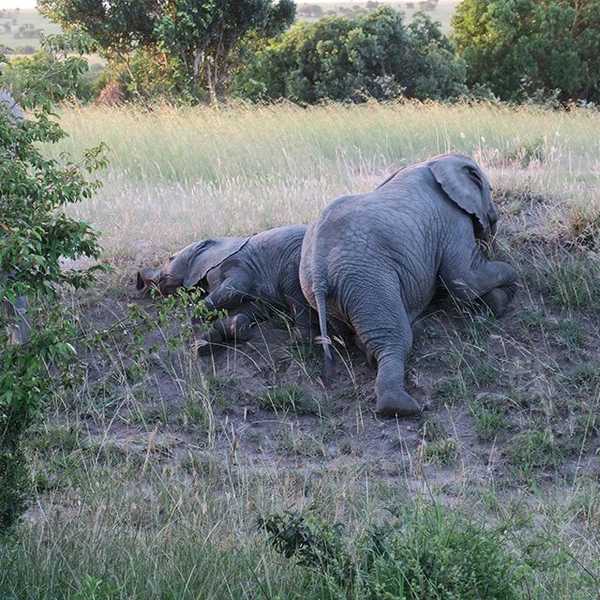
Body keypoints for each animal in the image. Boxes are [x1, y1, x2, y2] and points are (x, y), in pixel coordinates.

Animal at [136, 223, 314, 350]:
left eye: (170, 259)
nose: (139, 282)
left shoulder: (237, 262)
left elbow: (235, 290)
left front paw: (199, 342)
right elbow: (254, 307)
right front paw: (234, 329)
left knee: (295, 296)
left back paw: (296, 341)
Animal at [302, 152, 516, 418]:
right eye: (490, 189)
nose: (492, 224)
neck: (434, 161)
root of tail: (318, 271)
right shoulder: (451, 220)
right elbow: (465, 279)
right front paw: (510, 280)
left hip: (327, 294)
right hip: (367, 278)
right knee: (396, 338)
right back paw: (403, 407)